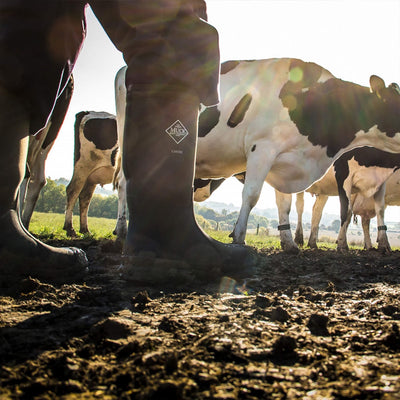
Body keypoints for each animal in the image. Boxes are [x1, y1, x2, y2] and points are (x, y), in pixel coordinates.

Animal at [62, 110, 126, 238]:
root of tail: (87, 112)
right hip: (83, 165)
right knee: (72, 190)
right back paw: (70, 228)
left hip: (91, 178)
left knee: (85, 197)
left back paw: (85, 229)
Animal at [194, 57, 400, 252]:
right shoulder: (262, 148)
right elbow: (251, 195)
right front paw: (239, 237)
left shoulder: (284, 163)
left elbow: (285, 204)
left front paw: (289, 243)